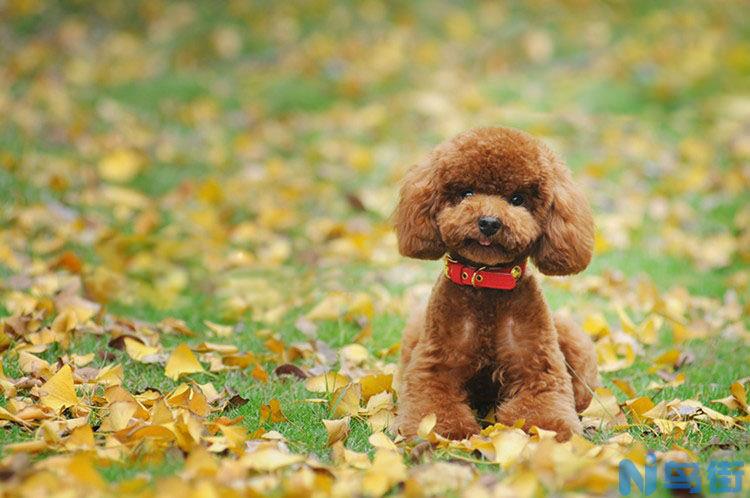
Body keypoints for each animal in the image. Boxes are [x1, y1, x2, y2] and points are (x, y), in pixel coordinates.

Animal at [394, 126, 600, 442]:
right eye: (466, 193)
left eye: (517, 199)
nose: (489, 222)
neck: (487, 283)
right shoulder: (433, 367)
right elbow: (432, 405)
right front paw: (447, 432)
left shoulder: (539, 369)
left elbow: (543, 407)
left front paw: (549, 433)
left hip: (572, 340)